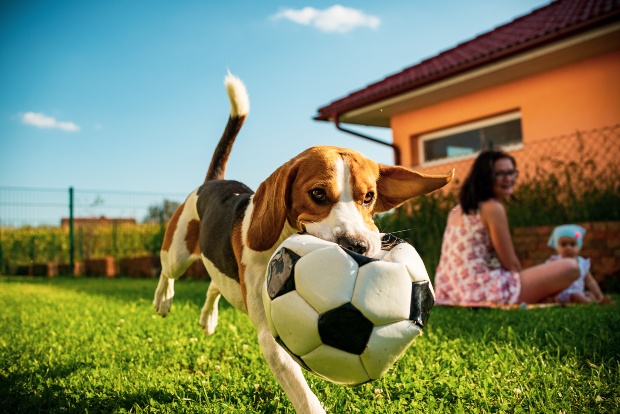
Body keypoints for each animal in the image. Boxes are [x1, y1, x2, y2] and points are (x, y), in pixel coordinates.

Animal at [154, 73, 456, 412]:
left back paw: (208, 318)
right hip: (178, 252)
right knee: (167, 270)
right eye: (318, 194)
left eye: (369, 197)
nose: (357, 246)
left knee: (214, 286)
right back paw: (163, 299)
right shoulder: (272, 337)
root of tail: (212, 182)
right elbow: (301, 391)